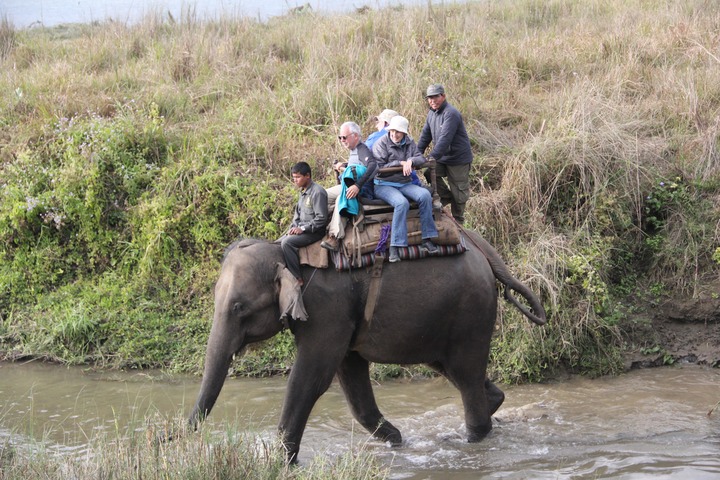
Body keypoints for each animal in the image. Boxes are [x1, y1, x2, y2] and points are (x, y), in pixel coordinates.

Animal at [187, 229, 546, 462]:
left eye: (239, 308)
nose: (177, 437)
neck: (282, 251)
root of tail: (482, 249)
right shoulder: (341, 317)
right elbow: (351, 378)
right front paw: (397, 440)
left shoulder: (327, 310)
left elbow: (311, 379)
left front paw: (280, 462)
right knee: (454, 370)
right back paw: (487, 408)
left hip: (470, 312)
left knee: (465, 373)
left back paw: (469, 441)